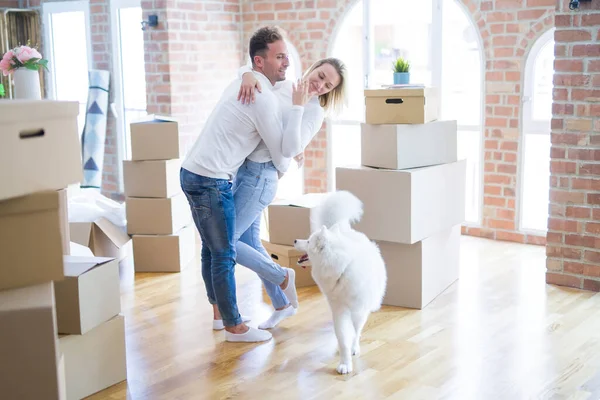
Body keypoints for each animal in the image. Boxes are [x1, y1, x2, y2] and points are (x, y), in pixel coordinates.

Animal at [292, 191, 386, 376]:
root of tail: (345, 230)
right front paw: (345, 362)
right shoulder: (338, 308)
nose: (295, 240)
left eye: (308, 241)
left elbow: (356, 331)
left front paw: (353, 348)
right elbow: (342, 336)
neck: (342, 268)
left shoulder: (359, 309)